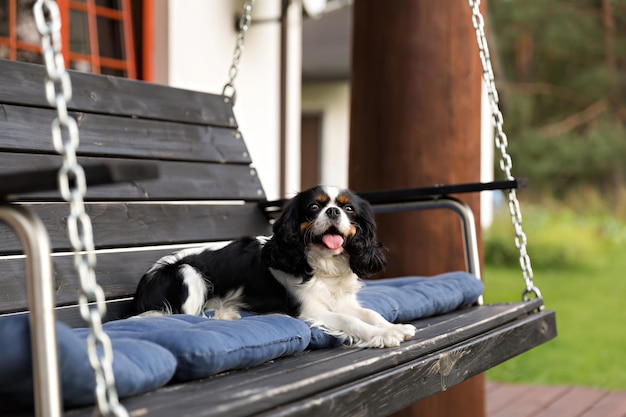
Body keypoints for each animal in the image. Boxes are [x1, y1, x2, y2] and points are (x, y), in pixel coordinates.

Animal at [133, 185, 414, 348]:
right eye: (314, 207)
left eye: (348, 208)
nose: (333, 211)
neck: (324, 264)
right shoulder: (310, 310)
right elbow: (349, 320)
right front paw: (381, 336)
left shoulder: (344, 302)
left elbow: (370, 314)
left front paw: (393, 327)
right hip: (186, 273)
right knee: (190, 315)